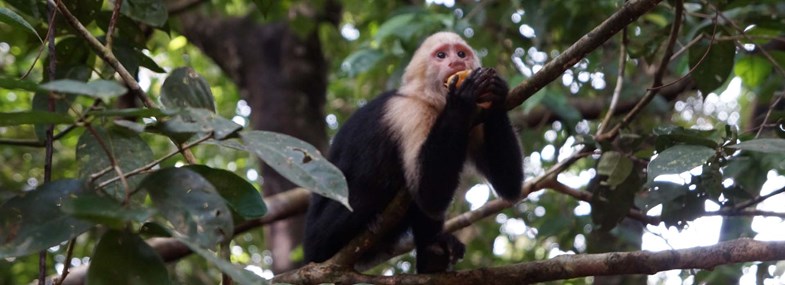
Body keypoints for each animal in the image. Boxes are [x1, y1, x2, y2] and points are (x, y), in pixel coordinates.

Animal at [304, 31, 524, 272]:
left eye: (461, 53)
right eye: (441, 55)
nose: (456, 62)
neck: (433, 101)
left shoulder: (475, 117)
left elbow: (509, 185)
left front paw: (497, 92)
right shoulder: (411, 112)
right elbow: (428, 193)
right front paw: (461, 98)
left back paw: (433, 253)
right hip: (320, 239)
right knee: (374, 188)